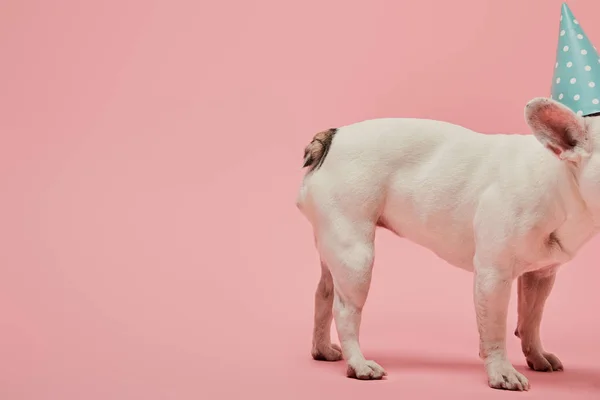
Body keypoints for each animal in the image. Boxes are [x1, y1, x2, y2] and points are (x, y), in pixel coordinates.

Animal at [296, 97, 600, 390]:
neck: (562, 182)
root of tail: (334, 137)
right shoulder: (494, 275)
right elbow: (495, 328)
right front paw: (502, 372)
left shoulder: (541, 275)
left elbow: (531, 320)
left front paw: (536, 356)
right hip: (356, 254)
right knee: (345, 310)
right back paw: (359, 365)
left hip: (335, 247)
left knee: (324, 294)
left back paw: (323, 350)